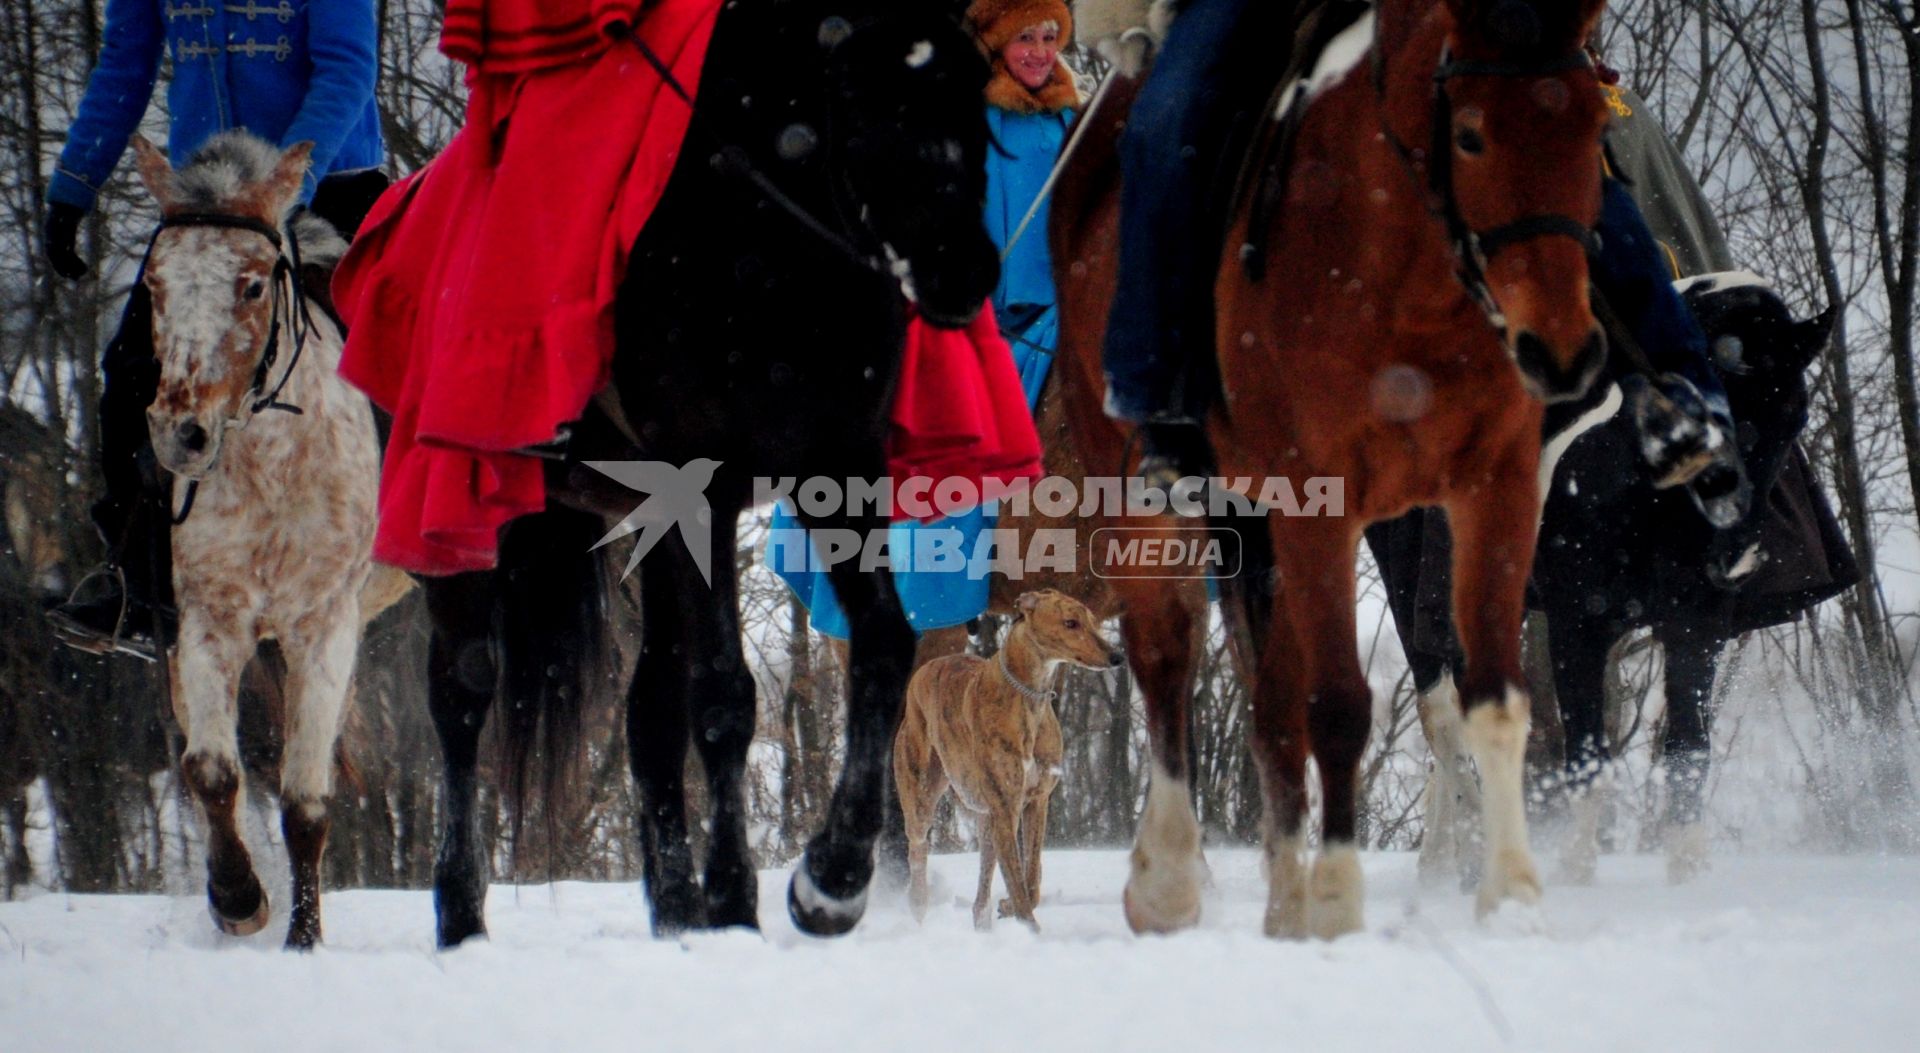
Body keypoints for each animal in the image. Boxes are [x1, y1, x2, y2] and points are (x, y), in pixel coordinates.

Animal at [130, 129, 405, 945]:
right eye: (153, 285)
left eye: (252, 286)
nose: (181, 434)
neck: (271, 466)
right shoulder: (209, 620)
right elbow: (212, 770)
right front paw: (238, 897)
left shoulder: (324, 624)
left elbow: (306, 801)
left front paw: (303, 941)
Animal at [424, 0, 1006, 945]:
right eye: (863, 107)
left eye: (975, 95)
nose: (960, 267)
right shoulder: (703, 482)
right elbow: (727, 695)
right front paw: (743, 897)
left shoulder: (838, 467)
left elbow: (883, 648)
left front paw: (831, 878)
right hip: (462, 521)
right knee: (462, 696)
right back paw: (462, 912)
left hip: (642, 521)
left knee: (646, 710)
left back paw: (675, 906)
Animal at [898, 591, 1121, 930]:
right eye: (1071, 623)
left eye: (1093, 620)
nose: (1117, 656)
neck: (1029, 698)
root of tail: (923, 670)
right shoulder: (1006, 806)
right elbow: (1016, 880)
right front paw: (1029, 928)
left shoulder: (1036, 802)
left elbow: (1031, 875)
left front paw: (1009, 906)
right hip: (922, 796)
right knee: (918, 849)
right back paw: (919, 905)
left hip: (988, 820)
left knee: (981, 891)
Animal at [1036, 0, 1605, 937]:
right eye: (1473, 135)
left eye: (1595, 126)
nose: (1560, 352)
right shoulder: (1317, 499)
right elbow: (1337, 705)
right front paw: (1338, 903)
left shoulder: (1495, 489)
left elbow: (1494, 699)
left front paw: (1512, 895)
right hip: (1142, 489)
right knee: (1166, 656)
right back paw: (1169, 880)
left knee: (1269, 705)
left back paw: (1282, 898)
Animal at [1359, 276, 1850, 880]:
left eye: (1795, 418)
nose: (1735, 556)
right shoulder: (1579, 624)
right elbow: (1587, 753)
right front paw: (1577, 873)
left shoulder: (1698, 624)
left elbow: (1689, 745)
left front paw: (1687, 872)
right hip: (1413, 589)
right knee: (1445, 720)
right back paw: (1470, 856)